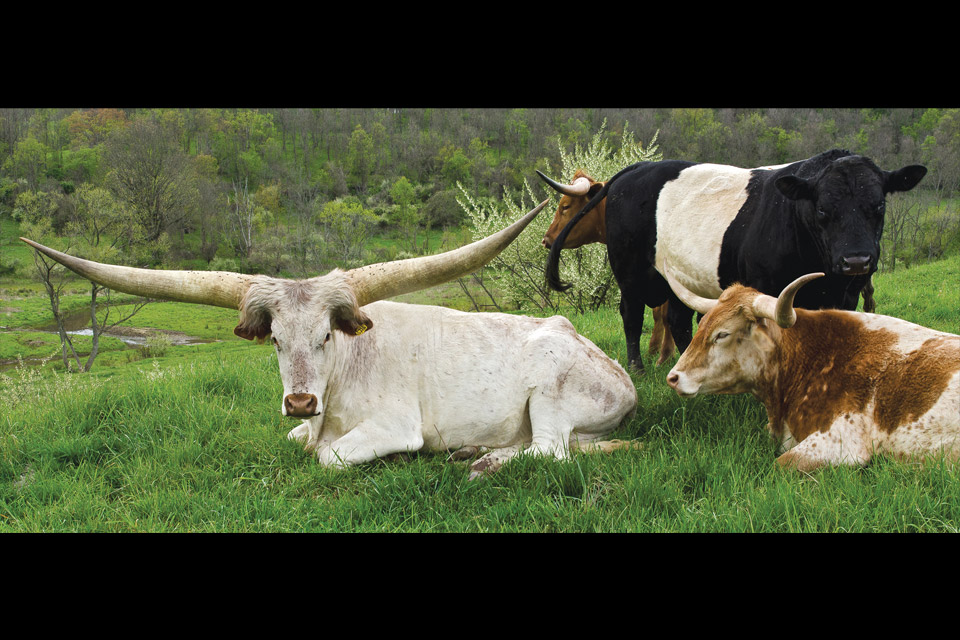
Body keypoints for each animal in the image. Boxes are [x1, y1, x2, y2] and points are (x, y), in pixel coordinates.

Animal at [544, 150, 928, 370]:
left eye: (878, 205)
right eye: (822, 209)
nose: (856, 260)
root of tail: (635, 169)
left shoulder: (846, 294)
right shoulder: (768, 291)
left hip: (680, 279)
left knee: (679, 321)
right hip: (631, 274)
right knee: (632, 316)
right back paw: (638, 367)